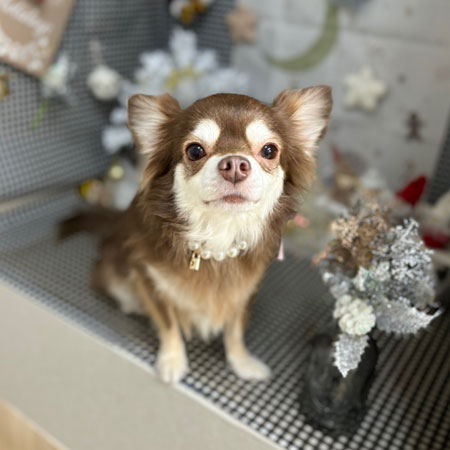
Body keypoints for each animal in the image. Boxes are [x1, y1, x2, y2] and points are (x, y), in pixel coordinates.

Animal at [60, 87, 332, 383]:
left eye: (269, 150)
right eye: (195, 150)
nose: (235, 163)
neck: (218, 235)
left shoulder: (244, 292)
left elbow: (235, 331)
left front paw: (242, 362)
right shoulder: (148, 277)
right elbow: (168, 324)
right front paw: (172, 361)